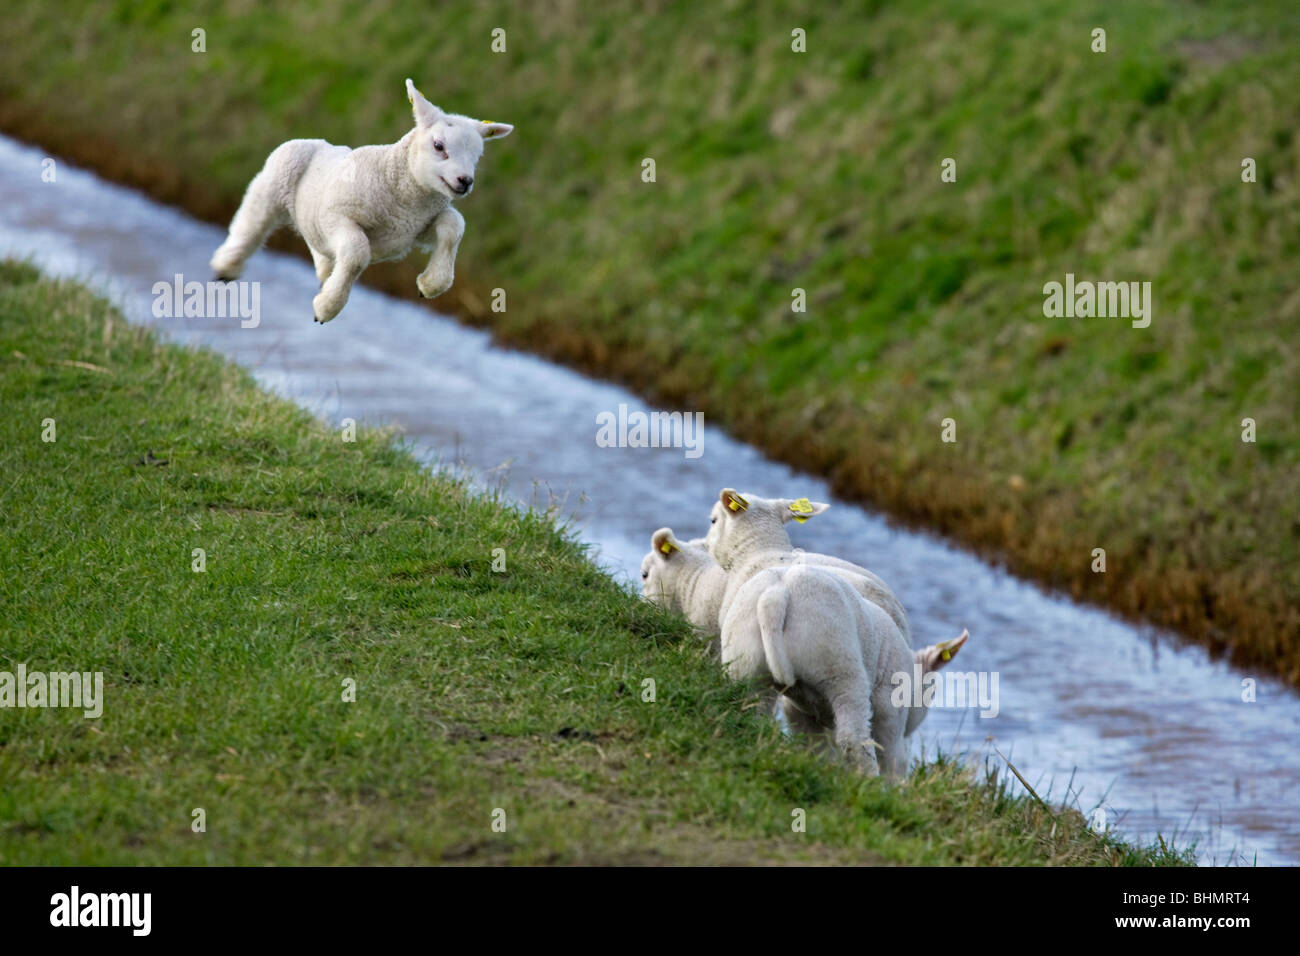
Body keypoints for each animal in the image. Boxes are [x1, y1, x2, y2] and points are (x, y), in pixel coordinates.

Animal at [210, 79, 509, 325]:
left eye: (477, 156)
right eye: (438, 146)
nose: (465, 181)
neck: (407, 199)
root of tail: (318, 141)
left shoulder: (414, 230)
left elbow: (453, 226)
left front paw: (431, 284)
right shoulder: (337, 215)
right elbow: (356, 253)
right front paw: (327, 307)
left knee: (316, 244)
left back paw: (326, 272)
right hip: (273, 184)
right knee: (251, 224)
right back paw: (226, 267)